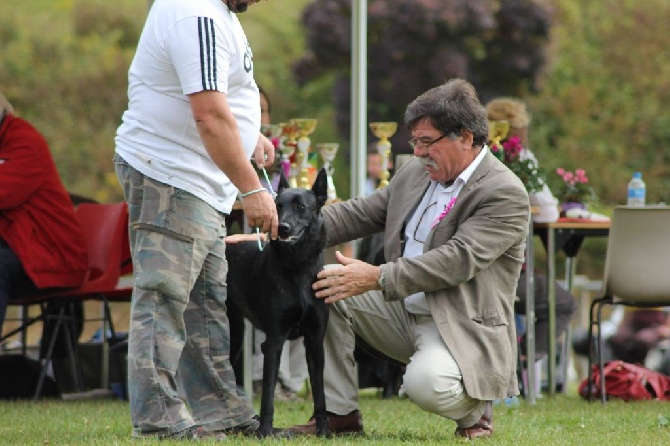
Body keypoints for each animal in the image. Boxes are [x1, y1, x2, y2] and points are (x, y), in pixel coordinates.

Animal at [226, 169, 330, 438]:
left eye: (301, 207)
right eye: (277, 206)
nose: (282, 228)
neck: (298, 269)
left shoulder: (315, 342)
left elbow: (320, 394)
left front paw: (324, 431)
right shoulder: (274, 342)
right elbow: (268, 396)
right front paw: (265, 431)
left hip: (236, 335)